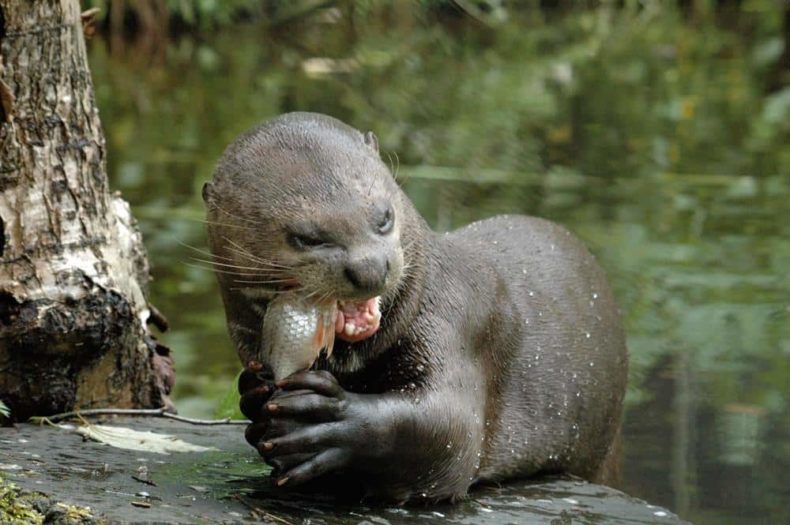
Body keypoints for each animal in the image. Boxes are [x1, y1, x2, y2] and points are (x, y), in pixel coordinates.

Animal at [204, 112, 632, 502]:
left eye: (384, 217)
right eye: (306, 237)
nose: (370, 269)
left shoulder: (458, 325)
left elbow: (448, 433)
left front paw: (329, 423)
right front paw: (255, 397)